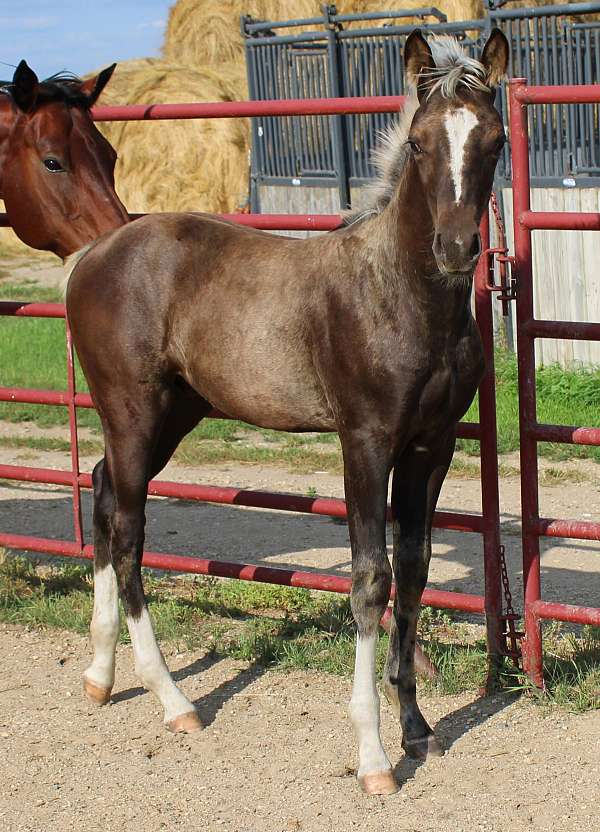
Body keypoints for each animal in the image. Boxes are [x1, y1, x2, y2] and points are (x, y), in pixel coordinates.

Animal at [69, 30, 506, 800]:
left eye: (496, 140)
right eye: (419, 143)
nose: (456, 250)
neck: (399, 293)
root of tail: (94, 253)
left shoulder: (431, 447)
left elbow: (414, 569)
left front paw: (417, 728)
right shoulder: (365, 442)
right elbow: (369, 580)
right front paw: (373, 758)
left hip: (169, 415)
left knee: (100, 487)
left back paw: (100, 675)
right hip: (130, 410)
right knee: (126, 531)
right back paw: (174, 701)